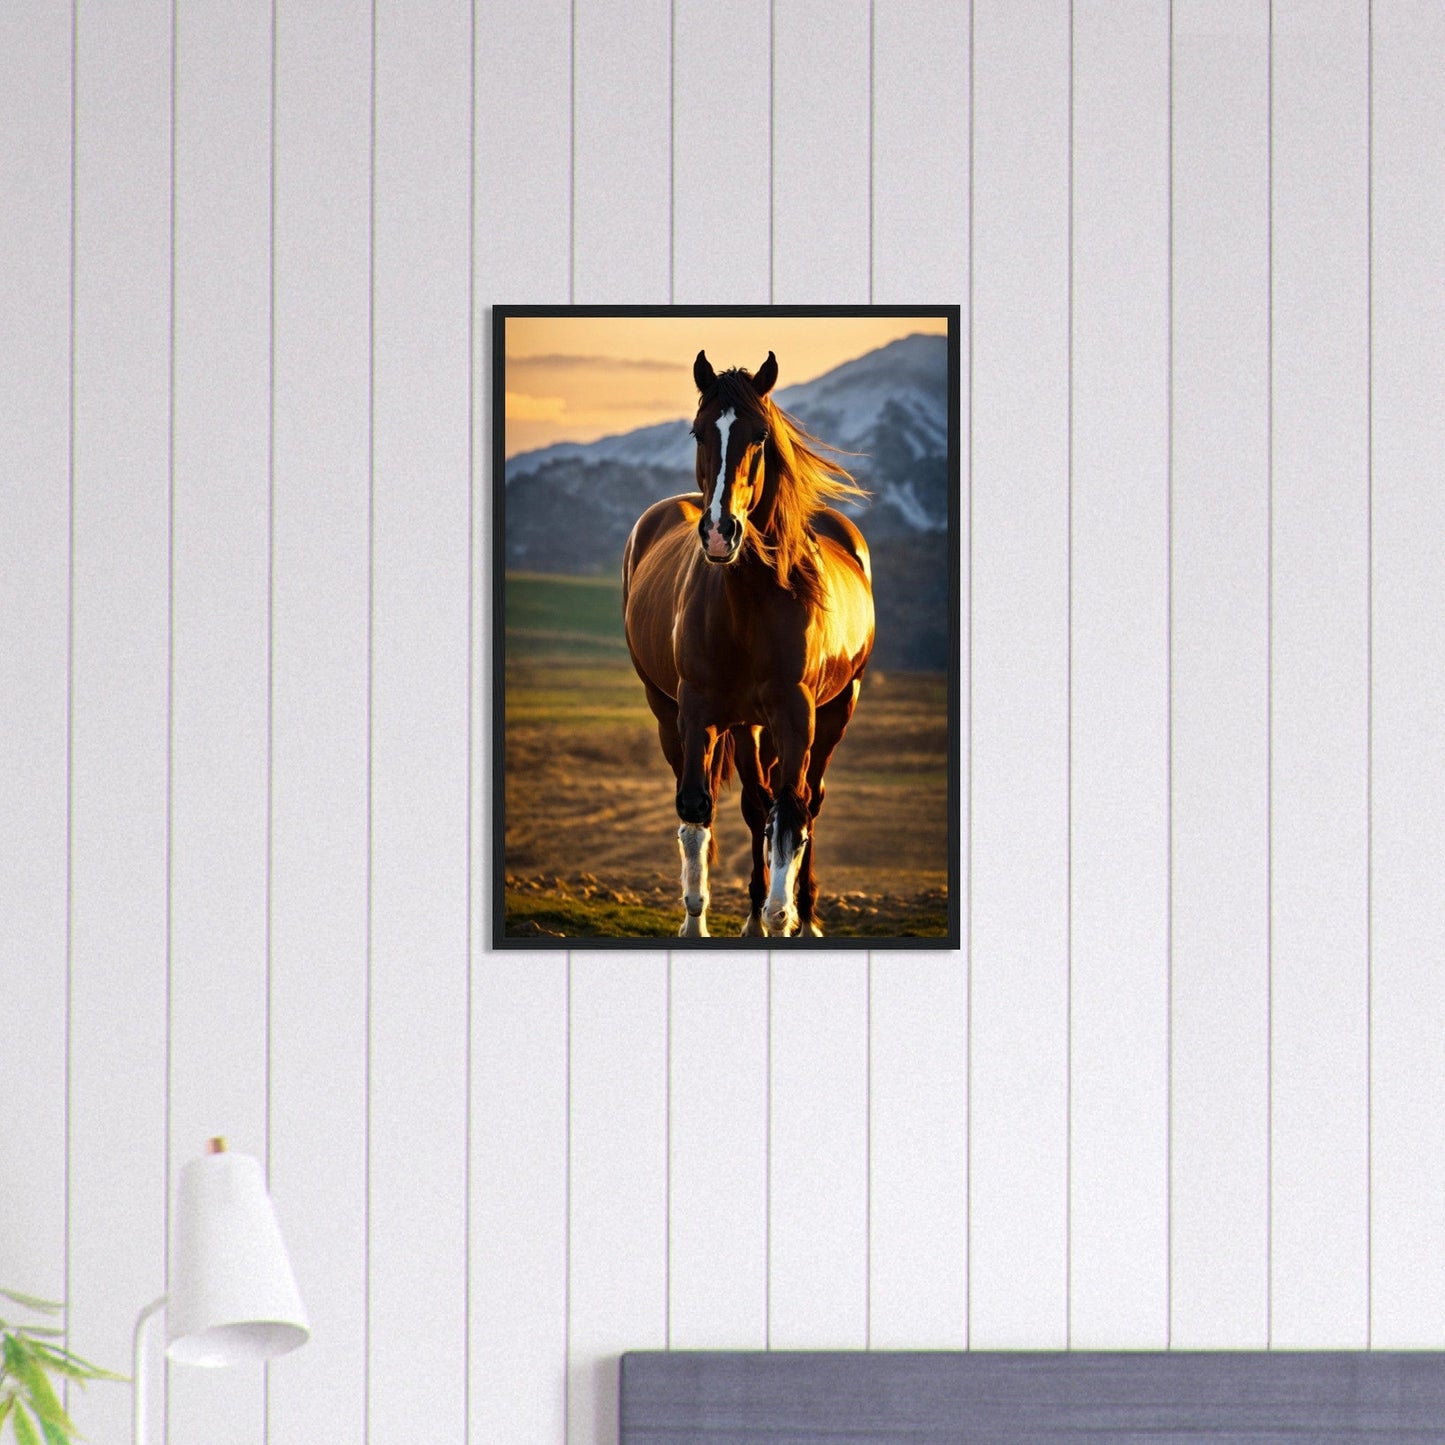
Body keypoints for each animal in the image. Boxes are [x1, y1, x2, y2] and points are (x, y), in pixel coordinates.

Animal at [621, 349, 876, 938]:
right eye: (698, 431)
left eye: (759, 434)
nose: (720, 532)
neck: (751, 602)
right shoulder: (697, 711)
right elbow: (698, 809)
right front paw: (700, 923)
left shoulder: (796, 713)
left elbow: (790, 813)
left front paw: (784, 917)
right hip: (703, 717)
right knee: (753, 805)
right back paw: (754, 916)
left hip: (835, 709)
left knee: (807, 802)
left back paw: (803, 914)